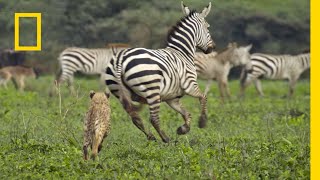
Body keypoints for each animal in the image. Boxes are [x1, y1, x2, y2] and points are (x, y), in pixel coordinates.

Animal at [105, 1, 215, 142]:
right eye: (208, 28)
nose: (212, 48)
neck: (182, 53)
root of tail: (120, 59)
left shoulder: (172, 98)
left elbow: (187, 113)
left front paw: (183, 129)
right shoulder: (190, 85)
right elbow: (203, 97)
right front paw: (202, 122)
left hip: (118, 91)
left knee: (136, 118)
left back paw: (152, 137)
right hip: (152, 91)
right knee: (153, 118)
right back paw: (165, 139)